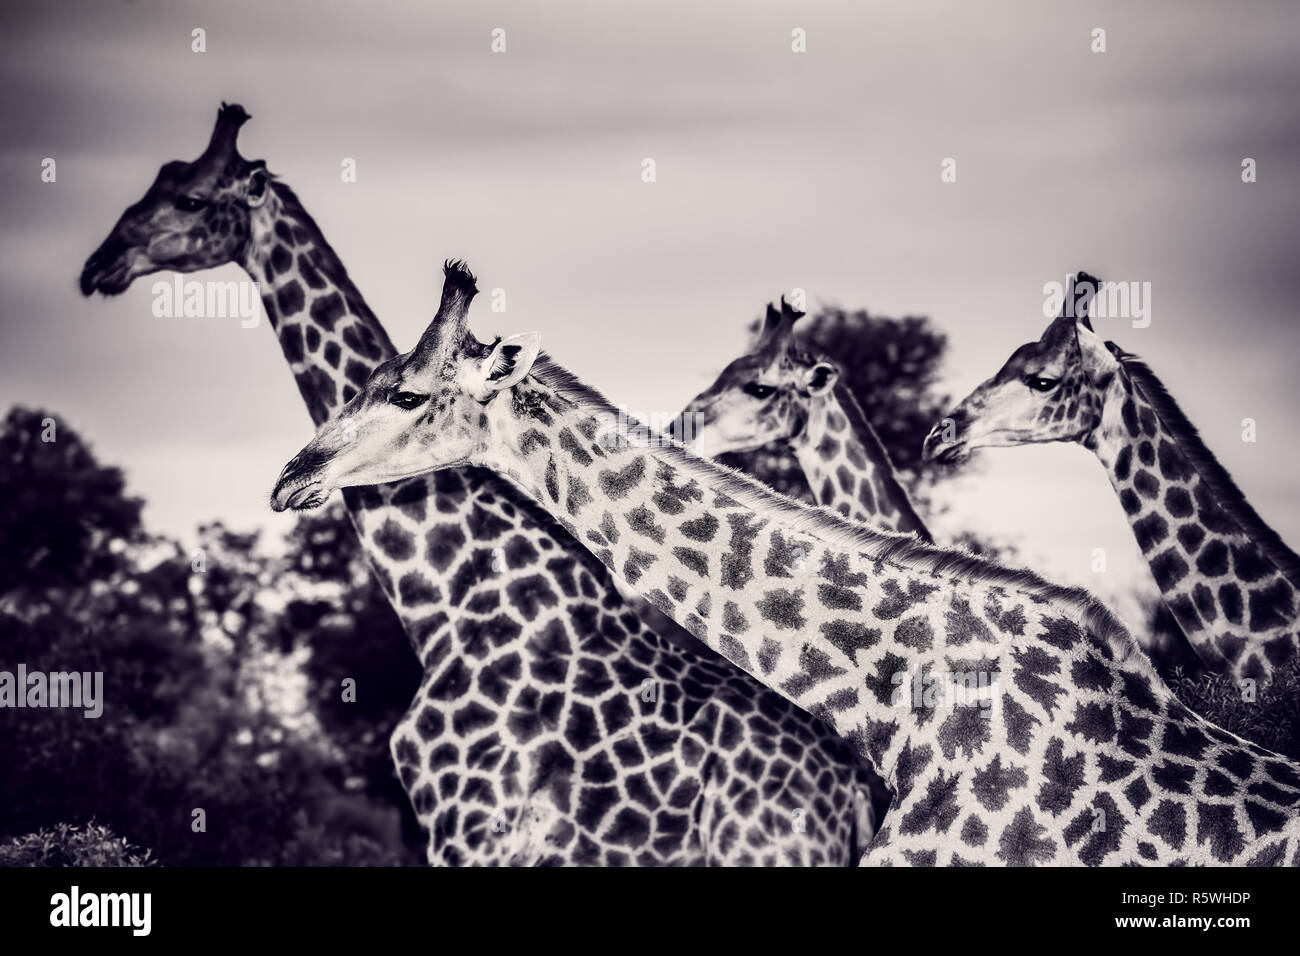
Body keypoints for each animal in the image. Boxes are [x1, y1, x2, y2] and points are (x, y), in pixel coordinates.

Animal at [79, 103, 879, 866]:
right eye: (160, 178)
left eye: (189, 198)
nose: (98, 265)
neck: (450, 603)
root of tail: (853, 792)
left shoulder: (466, 826)